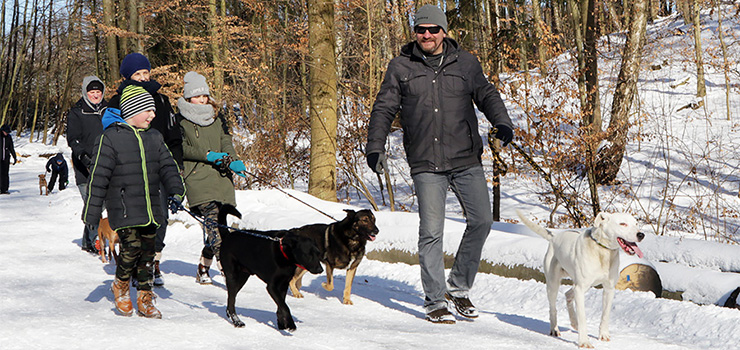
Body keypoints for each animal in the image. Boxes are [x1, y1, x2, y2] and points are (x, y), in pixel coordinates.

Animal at [516, 211, 644, 348]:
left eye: (636, 224)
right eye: (623, 224)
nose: (641, 234)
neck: (602, 251)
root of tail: (554, 238)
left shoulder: (608, 289)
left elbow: (605, 314)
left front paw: (603, 335)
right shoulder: (580, 289)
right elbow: (582, 317)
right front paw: (584, 341)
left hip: (581, 286)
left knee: (568, 294)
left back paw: (574, 322)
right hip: (554, 284)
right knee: (553, 308)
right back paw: (555, 329)